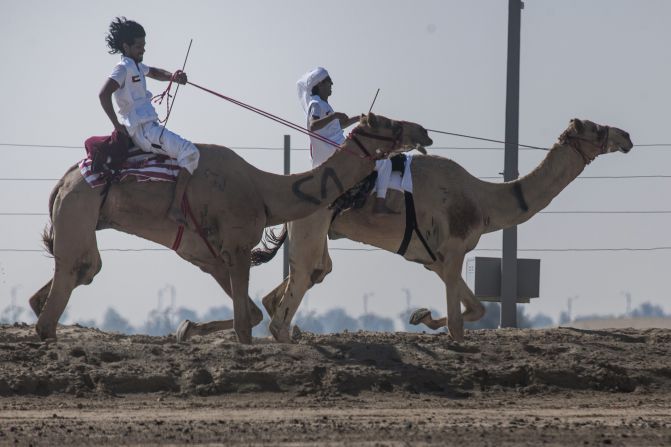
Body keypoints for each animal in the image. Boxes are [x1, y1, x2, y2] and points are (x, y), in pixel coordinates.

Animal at [27, 114, 430, 344]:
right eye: (389, 124)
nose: (423, 132)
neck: (264, 192)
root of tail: (63, 181)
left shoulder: (210, 255)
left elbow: (249, 315)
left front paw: (185, 328)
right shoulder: (237, 248)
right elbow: (243, 328)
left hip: (79, 219)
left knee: (72, 276)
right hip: (79, 208)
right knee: (77, 270)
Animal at [181, 118, 632, 344]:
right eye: (594, 128)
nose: (626, 136)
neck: (484, 200)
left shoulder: (438, 258)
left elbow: (477, 309)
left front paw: (420, 315)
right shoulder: (453, 249)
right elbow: (461, 323)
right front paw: (433, 321)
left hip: (314, 236)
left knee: (296, 285)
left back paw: (194, 328)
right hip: (311, 228)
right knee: (298, 285)